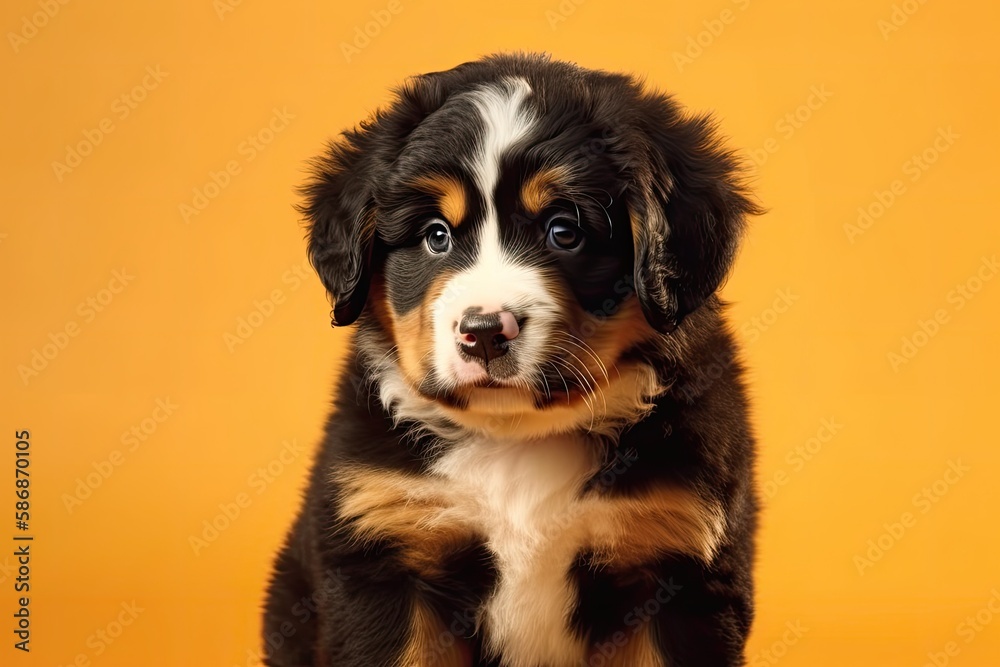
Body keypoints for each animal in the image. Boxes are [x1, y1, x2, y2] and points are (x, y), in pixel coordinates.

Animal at [262, 53, 760, 667]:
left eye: (564, 231)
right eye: (436, 236)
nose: (482, 333)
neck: (516, 438)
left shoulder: (680, 569)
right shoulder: (383, 552)